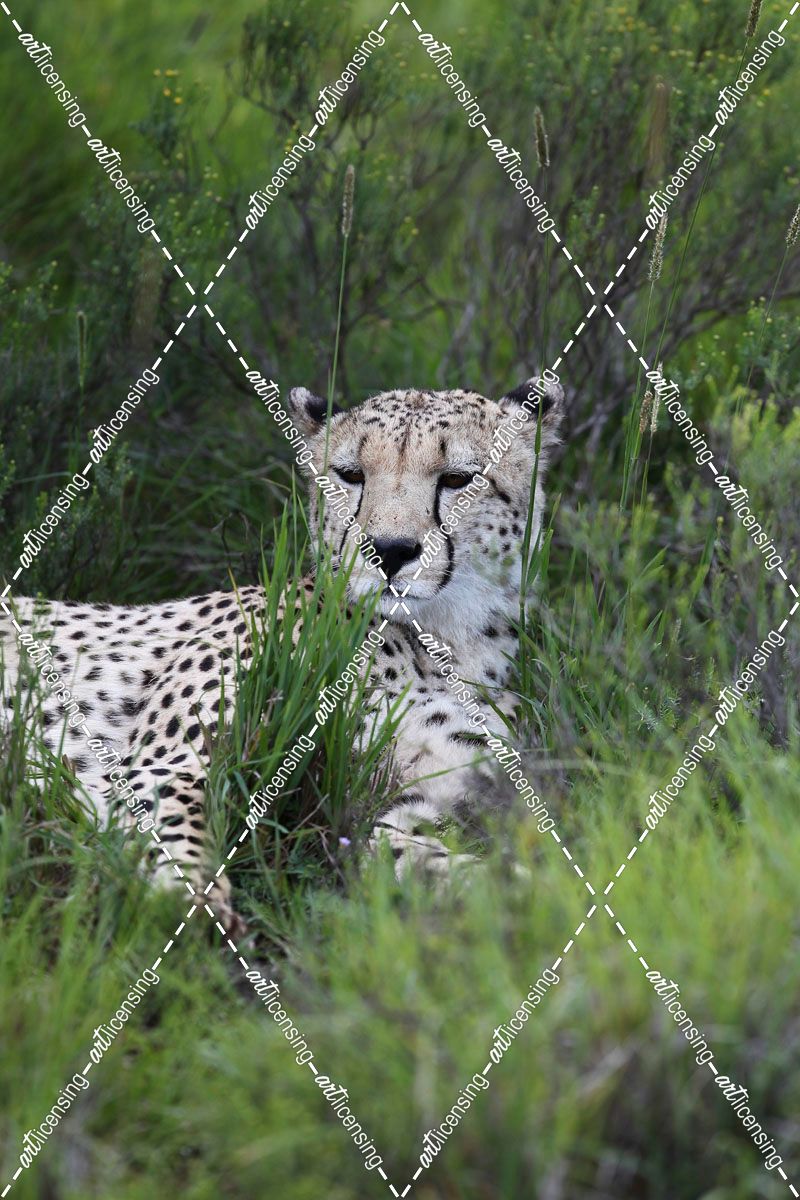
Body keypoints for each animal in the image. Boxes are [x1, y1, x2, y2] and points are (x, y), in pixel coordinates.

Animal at [0, 375, 564, 932]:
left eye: (457, 479)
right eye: (351, 475)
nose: (388, 550)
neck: (440, 644)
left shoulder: (404, 802)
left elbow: (438, 862)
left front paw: (543, 897)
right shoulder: (160, 763)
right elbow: (175, 824)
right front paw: (193, 900)